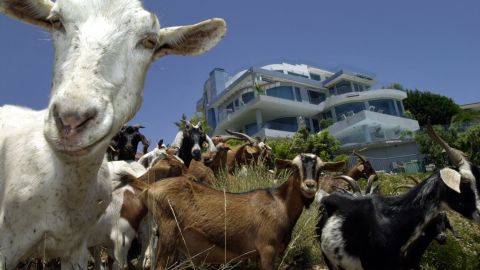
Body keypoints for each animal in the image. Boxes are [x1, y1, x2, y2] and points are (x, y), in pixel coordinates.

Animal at [128, 154, 344, 270]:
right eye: (295, 167)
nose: (310, 186)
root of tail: (150, 188)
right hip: (168, 234)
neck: (279, 202)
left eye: (320, 169)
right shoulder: (267, 249)